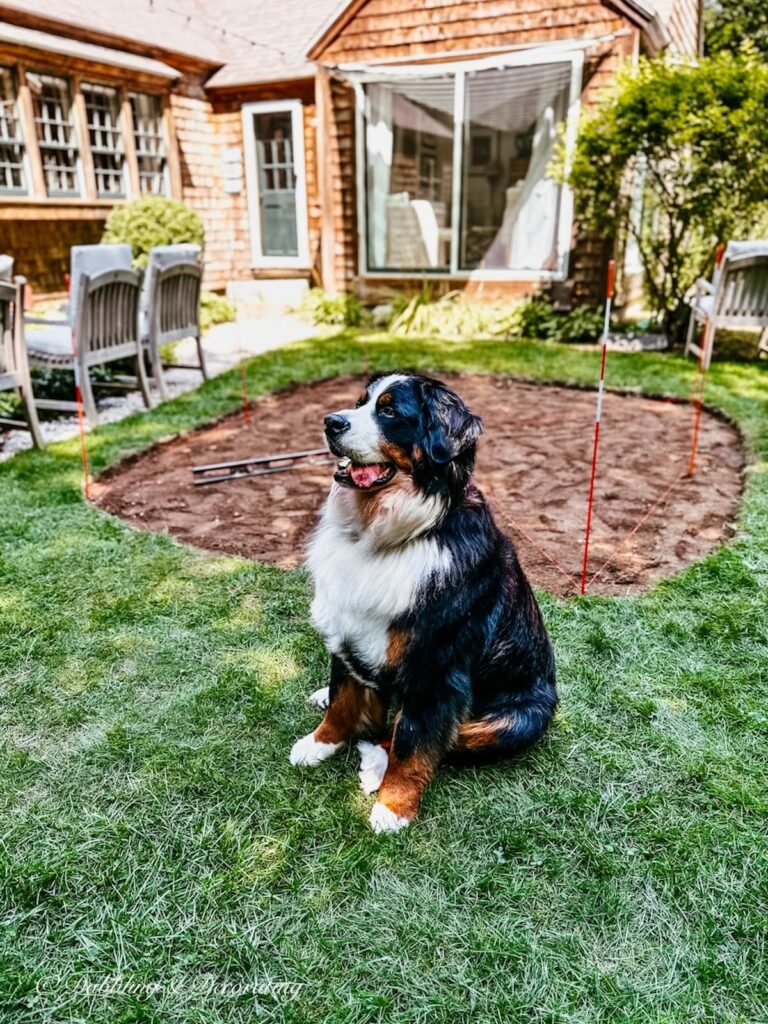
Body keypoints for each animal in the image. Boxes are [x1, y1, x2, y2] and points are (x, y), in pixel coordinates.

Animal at [290, 374, 557, 831]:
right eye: (359, 403)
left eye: (389, 411)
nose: (331, 422)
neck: (379, 536)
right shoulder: (347, 629)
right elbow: (342, 700)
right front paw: (317, 743)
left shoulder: (436, 668)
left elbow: (413, 745)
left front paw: (393, 808)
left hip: (517, 720)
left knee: (435, 735)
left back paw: (375, 766)